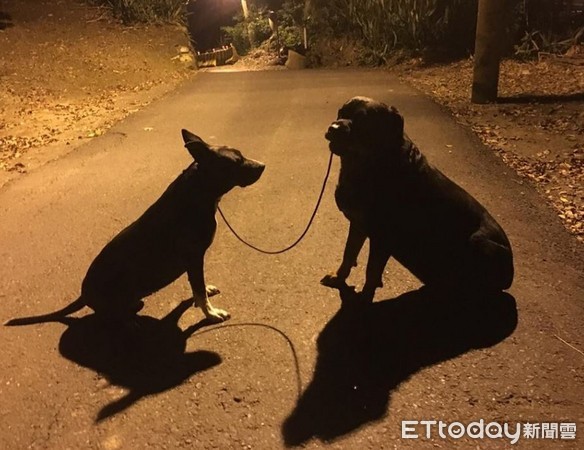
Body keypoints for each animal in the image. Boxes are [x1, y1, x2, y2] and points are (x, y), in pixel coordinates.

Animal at [5, 128, 266, 326]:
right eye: (236, 161)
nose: (263, 165)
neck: (199, 192)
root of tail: (83, 294)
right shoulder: (193, 257)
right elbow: (198, 290)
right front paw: (210, 313)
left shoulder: (192, 261)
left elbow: (197, 287)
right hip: (123, 300)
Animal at [322, 97, 512, 302]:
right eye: (341, 112)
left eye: (363, 120)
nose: (333, 127)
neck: (366, 164)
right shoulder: (358, 224)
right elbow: (349, 253)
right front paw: (339, 277)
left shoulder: (383, 236)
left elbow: (371, 270)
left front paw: (364, 298)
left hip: (480, 243)